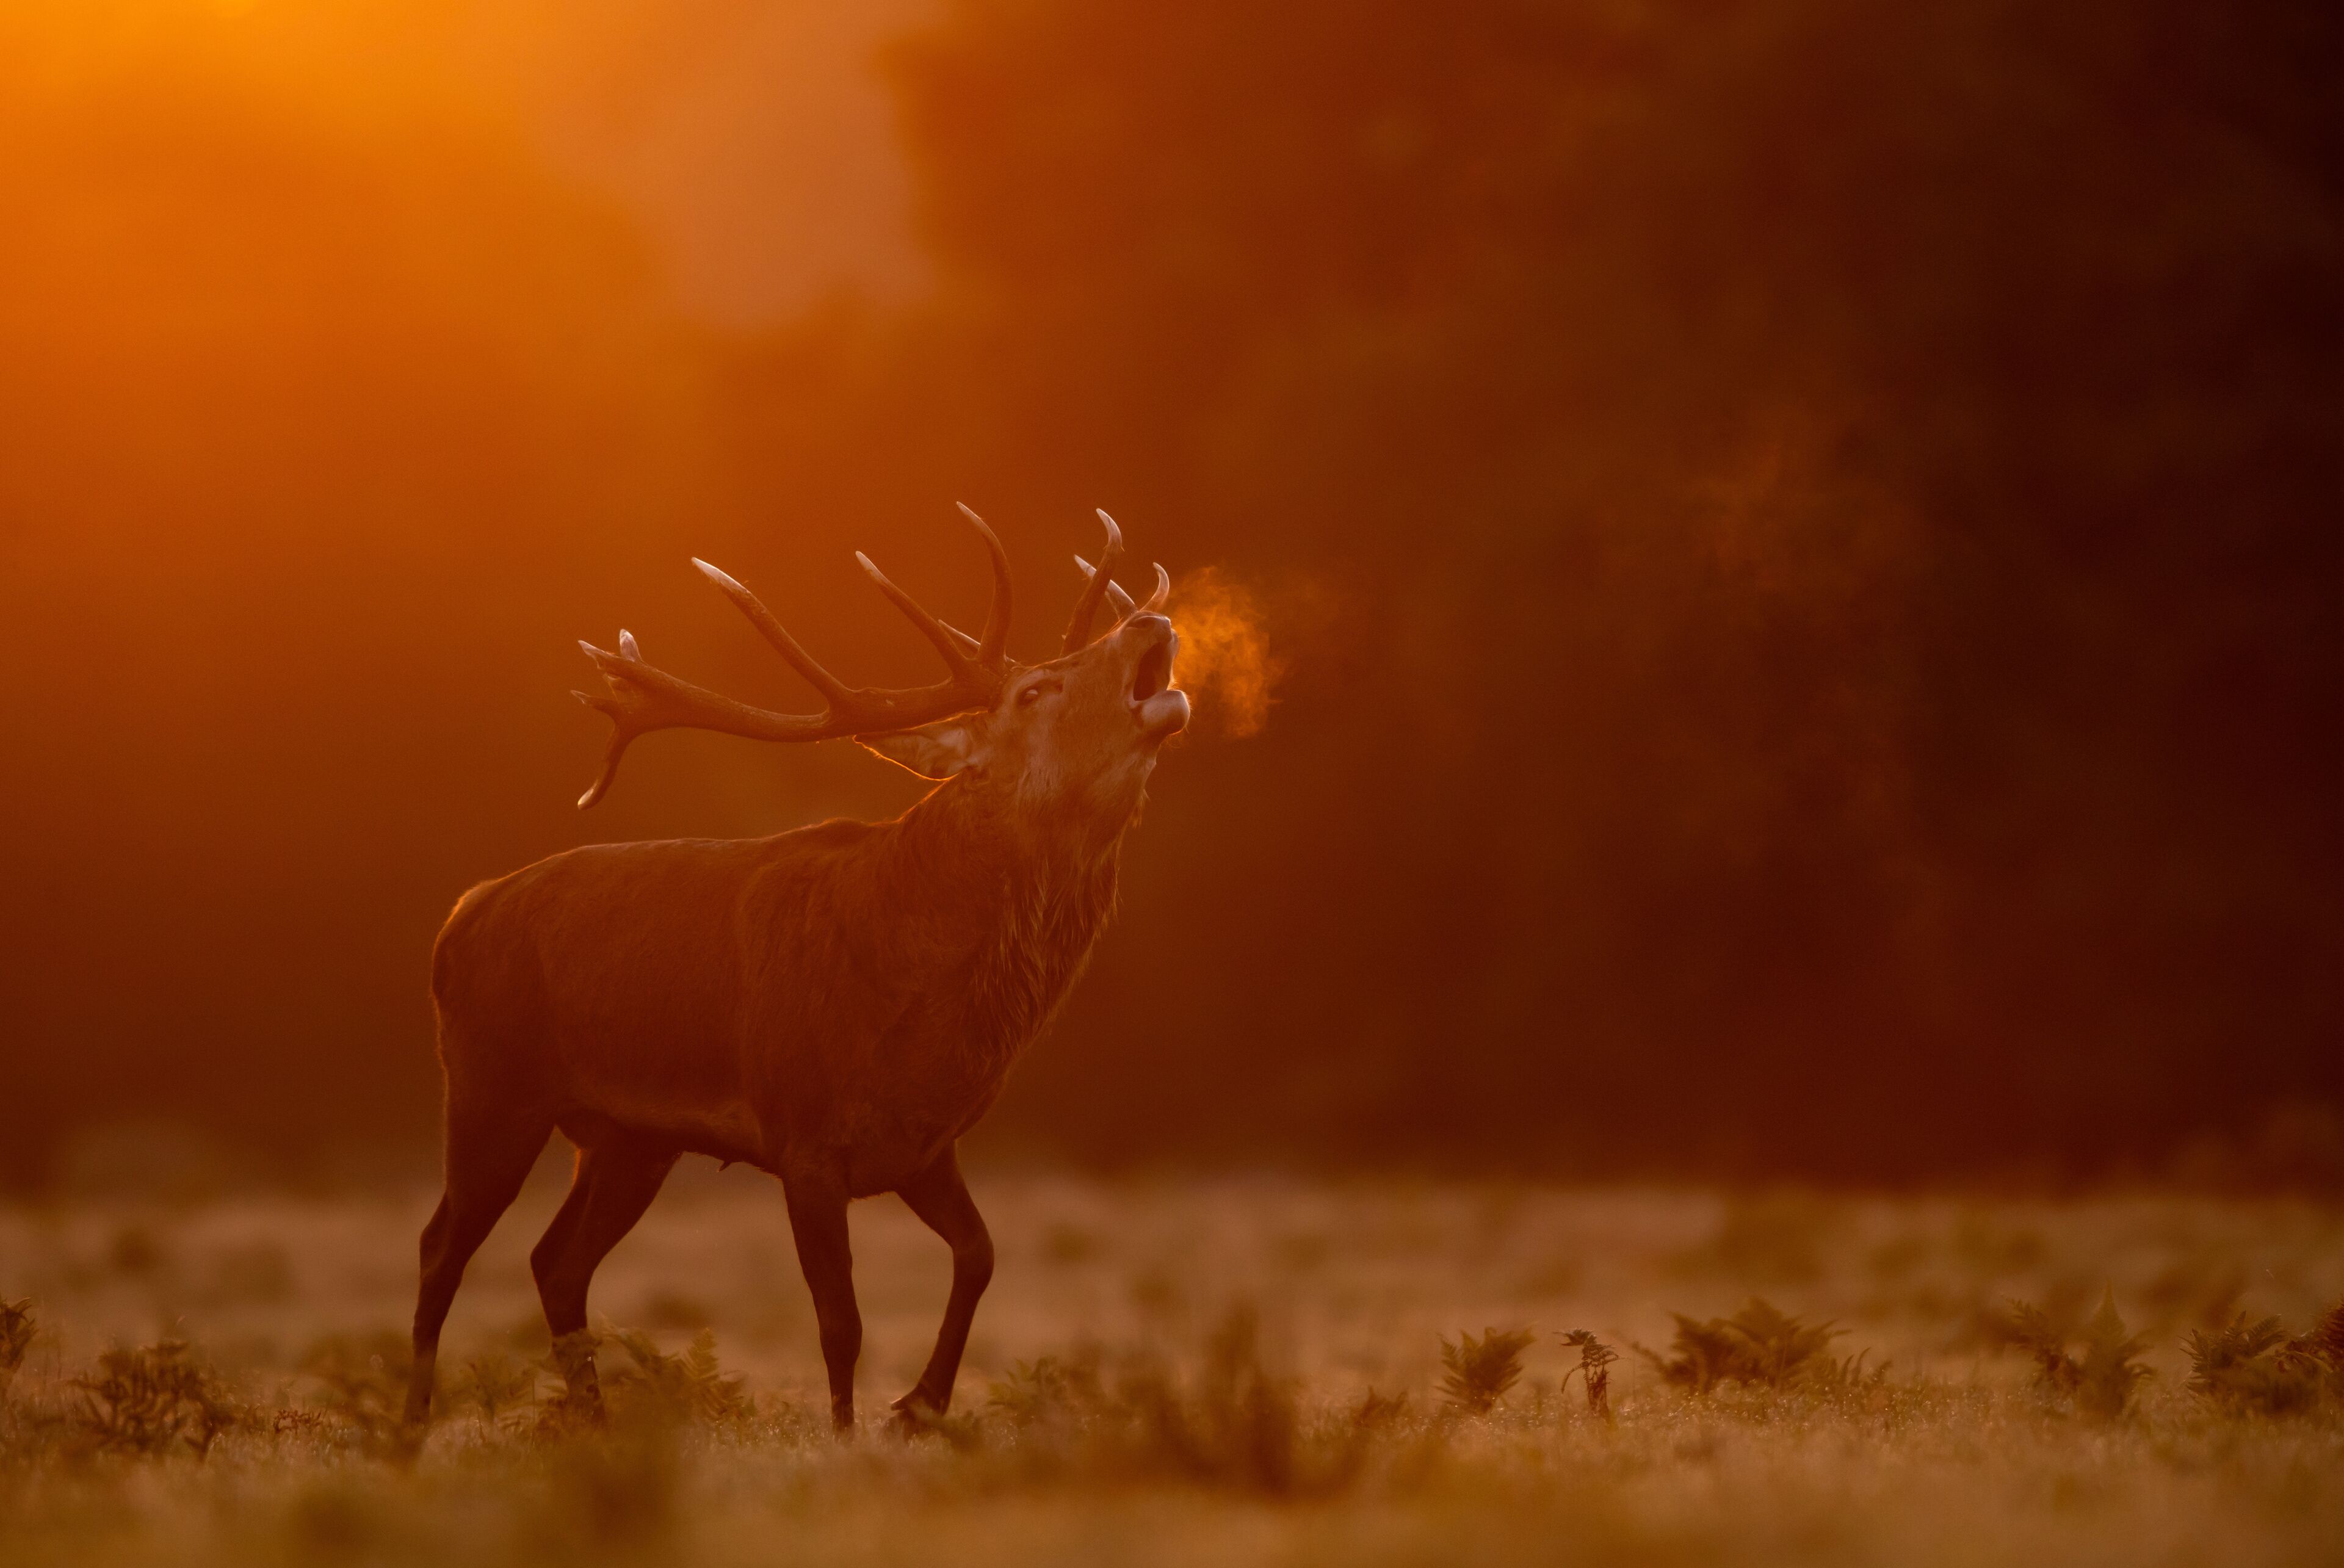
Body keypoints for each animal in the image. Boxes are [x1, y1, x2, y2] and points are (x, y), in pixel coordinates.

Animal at [400, 506, 1188, 1435]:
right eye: (1034, 691)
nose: (1147, 622)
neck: (922, 1007)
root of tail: (461, 916)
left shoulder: (924, 1145)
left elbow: (982, 1255)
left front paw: (918, 1405)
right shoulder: (804, 1136)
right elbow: (840, 1321)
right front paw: (848, 1435)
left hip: (630, 1140)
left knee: (555, 1260)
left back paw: (594, 1422)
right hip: (492, 1087)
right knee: (442, 1243)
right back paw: (409, 1426)